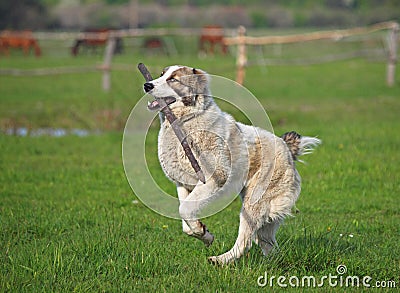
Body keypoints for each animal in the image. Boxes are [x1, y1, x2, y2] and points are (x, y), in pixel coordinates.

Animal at [142, 65, 320, 264]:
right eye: (161, 75)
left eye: (173, 79)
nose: (147, 85)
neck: (187, 121)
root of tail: (286, 146)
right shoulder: (183, 184)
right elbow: (185, 216)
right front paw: (204, 233)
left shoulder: (214, 178)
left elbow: (184, 209)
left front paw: (202, 233)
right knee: (268, 243)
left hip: (254, 203)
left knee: (245, 240)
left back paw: (220, 260)